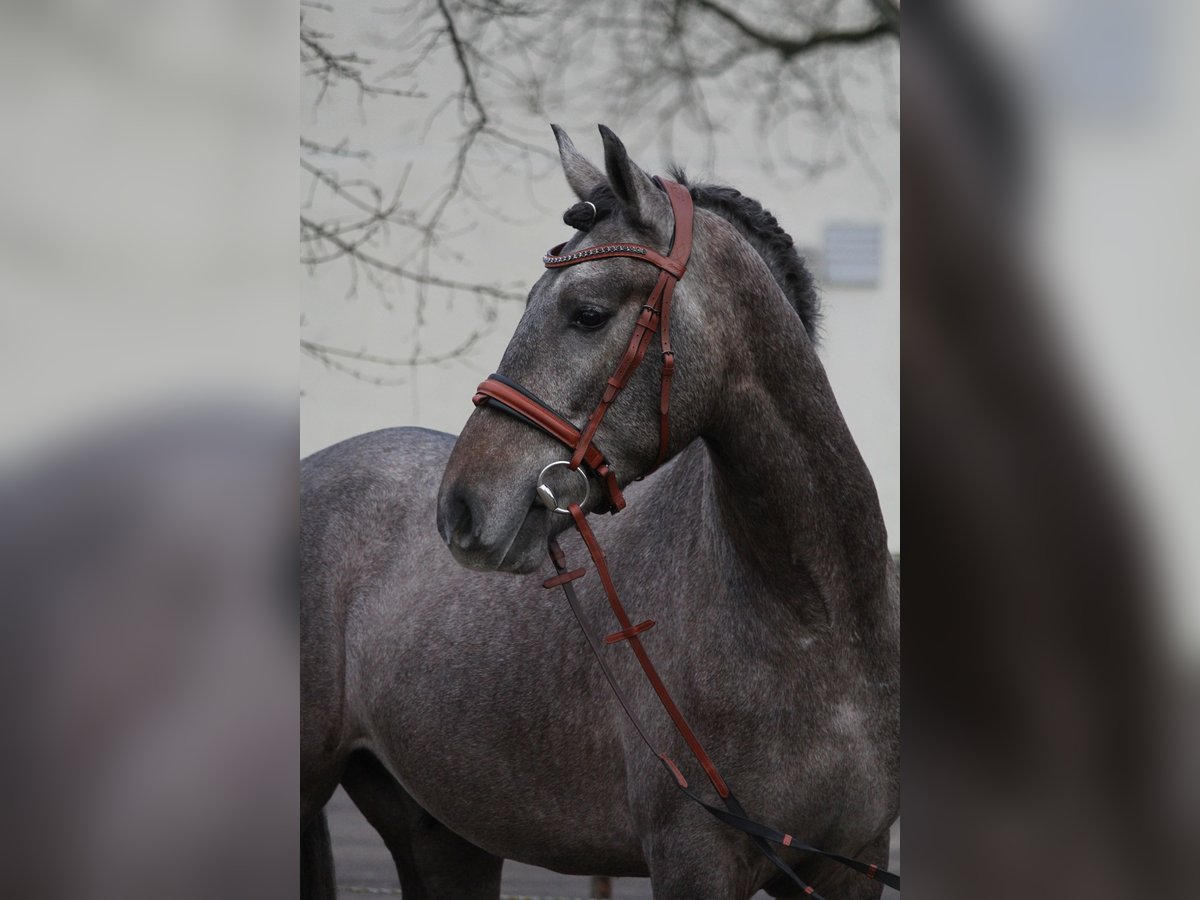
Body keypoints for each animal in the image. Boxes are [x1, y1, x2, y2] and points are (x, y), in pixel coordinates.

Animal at [302, 123, 902, 897]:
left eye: (586, 314)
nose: (461, 508)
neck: (815, 622)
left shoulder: (854, 862)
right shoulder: (694, 858)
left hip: (441, 837)